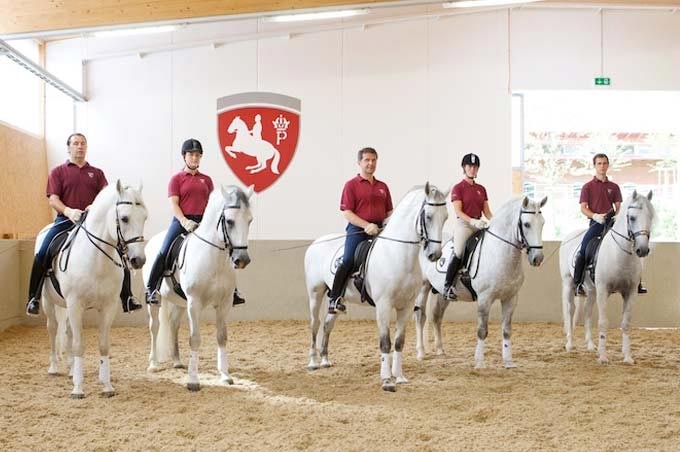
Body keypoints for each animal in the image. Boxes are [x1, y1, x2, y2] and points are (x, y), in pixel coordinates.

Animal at [40, 181, 147, 400]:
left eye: (144, 217)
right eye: (124, 218)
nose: (138, 260)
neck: (95, 260)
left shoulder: (108, 307)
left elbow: (103, 344)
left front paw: (106, 386)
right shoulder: (75, 305)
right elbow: (79, 345)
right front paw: (78, 389)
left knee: (68, 331)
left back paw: (71, 370)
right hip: (49, 301)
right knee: (53, 328)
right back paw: (54, 368)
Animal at [143, 185, 252, 390]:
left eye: (250, 220)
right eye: (230, 221)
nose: (242, 260)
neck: (214, 257)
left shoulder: (224, 303)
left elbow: (222, 336)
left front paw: (225, 375)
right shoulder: (194, 303)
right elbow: (194, 339)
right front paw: (193, 380)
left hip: (179, 302)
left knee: (174, 325)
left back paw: (177, 361)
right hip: (156, 302)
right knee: (154, 327)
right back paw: (153, 364)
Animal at [306, 184, 448, 392]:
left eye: (445, 217)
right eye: (428, 216)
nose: (435, 255)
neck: (398, 254)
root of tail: (316, 243)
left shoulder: (406, 306)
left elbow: (399, 342)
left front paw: (400, 377)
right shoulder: (383, 305)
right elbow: (385, 342)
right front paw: (387, 380)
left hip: (335, 298)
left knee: (327, 324)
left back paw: (325, 360)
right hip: (315, 294)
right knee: (315, 324)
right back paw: (313, 362)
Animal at [414, 196, 548, 370]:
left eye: (543, 223)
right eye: (526, 224)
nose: (538, 258)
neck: (499, 252)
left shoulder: (511, 298)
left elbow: (506, 330)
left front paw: (508, 362)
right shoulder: (485, 299)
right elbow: (482, 330)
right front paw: (479, 362)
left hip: (442, 294)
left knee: (437, 316)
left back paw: (440, 350)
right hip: (423, 287)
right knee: (420, 315)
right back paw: (420, 353)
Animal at [556, 190, 652, 364]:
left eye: (650, 217)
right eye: (632, 218)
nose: (642, 250)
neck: (619, 253)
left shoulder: (630, 292)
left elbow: (626, 323)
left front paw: (628, 357)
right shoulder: (603, 290)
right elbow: (602, 322)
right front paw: (603, 357)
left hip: (591, 291)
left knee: (587, 311)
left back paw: (590, 345)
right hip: (569, 284)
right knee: (570, 310)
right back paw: (569, 344)